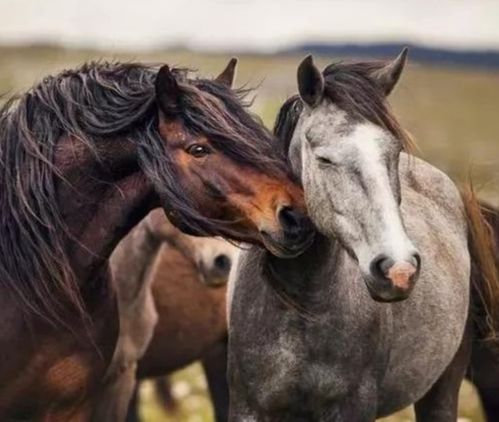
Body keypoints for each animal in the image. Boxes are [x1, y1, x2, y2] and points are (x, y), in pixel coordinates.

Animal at [228, 50, 499, 422]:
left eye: (394, 152)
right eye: (323, 158)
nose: (398, 270)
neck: (301, 306)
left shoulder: (353, 407)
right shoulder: (248, 407)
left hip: (443, 388)